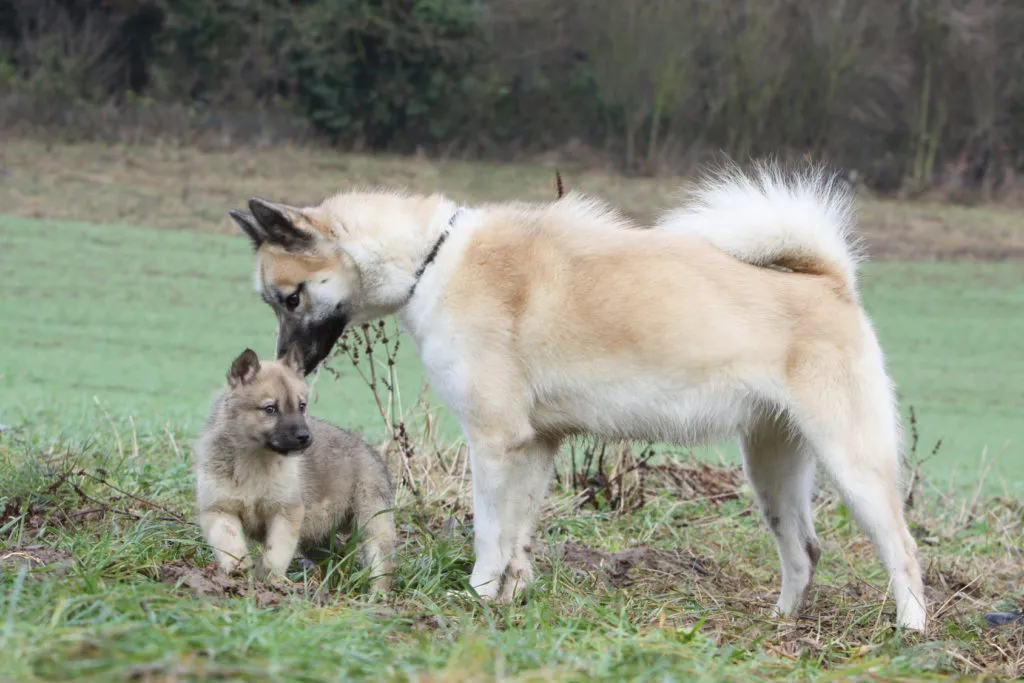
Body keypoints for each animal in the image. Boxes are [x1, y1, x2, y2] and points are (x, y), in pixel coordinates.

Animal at [193, 348, 397, 593]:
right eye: (270, 409)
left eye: (302, 406)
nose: (305, 437)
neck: (253, 460)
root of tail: (372, 453)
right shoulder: (219, 509)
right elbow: (228, 540)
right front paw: (237, 567)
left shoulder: (286, 513)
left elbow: (275, 554)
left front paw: (268, 580)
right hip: (314, 538)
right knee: (337, 556)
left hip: (372, 523)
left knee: (381, 565)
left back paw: (375, 596)